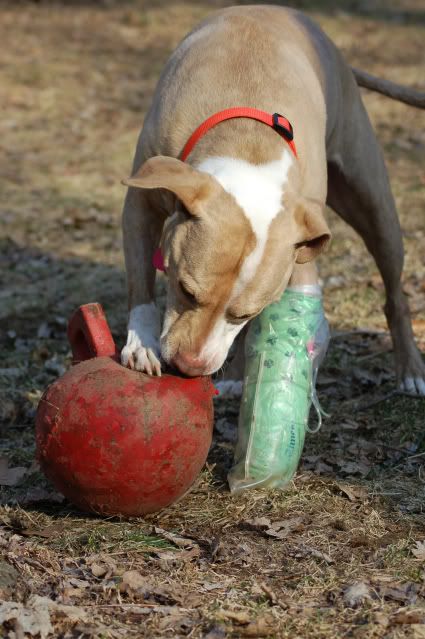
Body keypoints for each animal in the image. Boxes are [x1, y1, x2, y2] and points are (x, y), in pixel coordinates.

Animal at [120, 5, 425, 395]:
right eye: (185, 290)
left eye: (243, 313)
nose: (191, 367)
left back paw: (411, 370)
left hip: (375, 206)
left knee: (395, 294)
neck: (247, 143)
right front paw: (141, 344)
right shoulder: (140, 204)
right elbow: (140, 281)